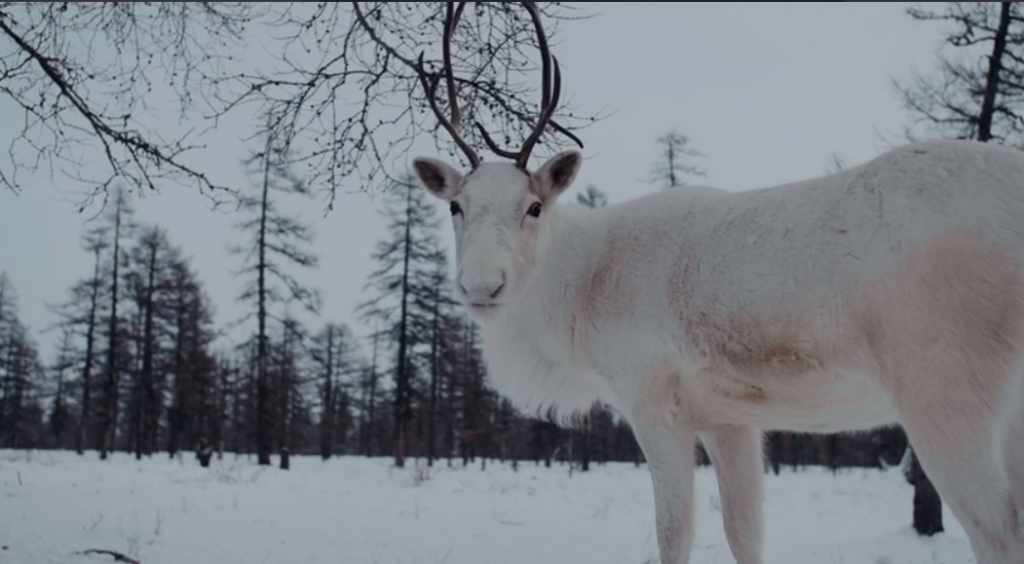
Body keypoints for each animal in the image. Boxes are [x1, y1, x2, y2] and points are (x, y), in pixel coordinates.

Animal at [407, 3, 1024, 563]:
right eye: (456, 206)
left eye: (534, 207)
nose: (481, 286)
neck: (578, 292)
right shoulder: (732, 419)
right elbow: (744, 533)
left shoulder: (652, 399)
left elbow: (674, 533)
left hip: (943, 384)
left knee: (997, 530)